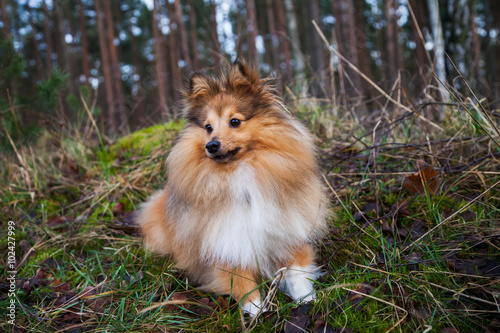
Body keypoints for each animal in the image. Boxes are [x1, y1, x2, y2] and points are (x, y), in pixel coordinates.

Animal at [138, 60, 328, 316]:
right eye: (208, 127)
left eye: (234, 121)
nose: (211, 145)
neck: (239, 173)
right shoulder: (227, 239)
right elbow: (240, 277)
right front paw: (254, 309)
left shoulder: (288, 227)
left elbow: (297, 268)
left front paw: (306, 299)